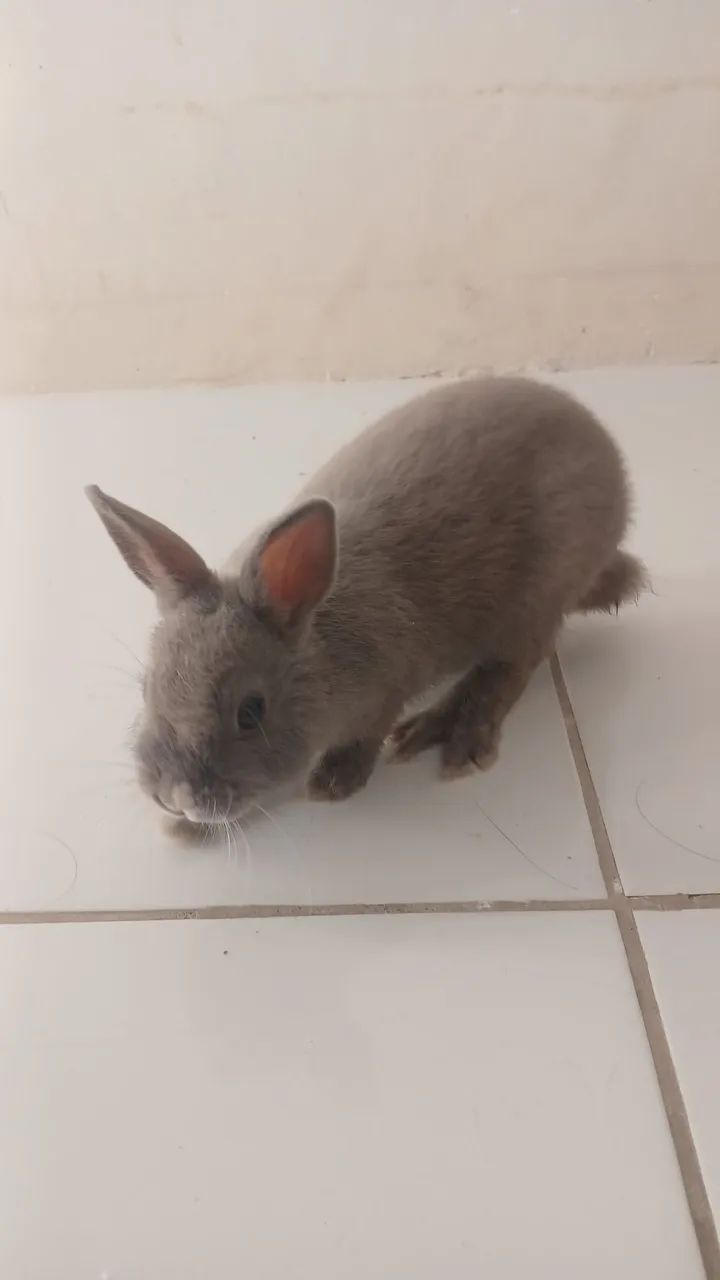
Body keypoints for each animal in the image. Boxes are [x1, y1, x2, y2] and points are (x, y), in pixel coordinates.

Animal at [86, 376, 645, 825]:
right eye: (147, 689)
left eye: (251, 713)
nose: (173, 799)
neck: (316, 649)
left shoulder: (384, 691)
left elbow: (367, 735)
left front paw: (335, 780)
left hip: (536, 598)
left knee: (515, 664)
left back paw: (453, 734)